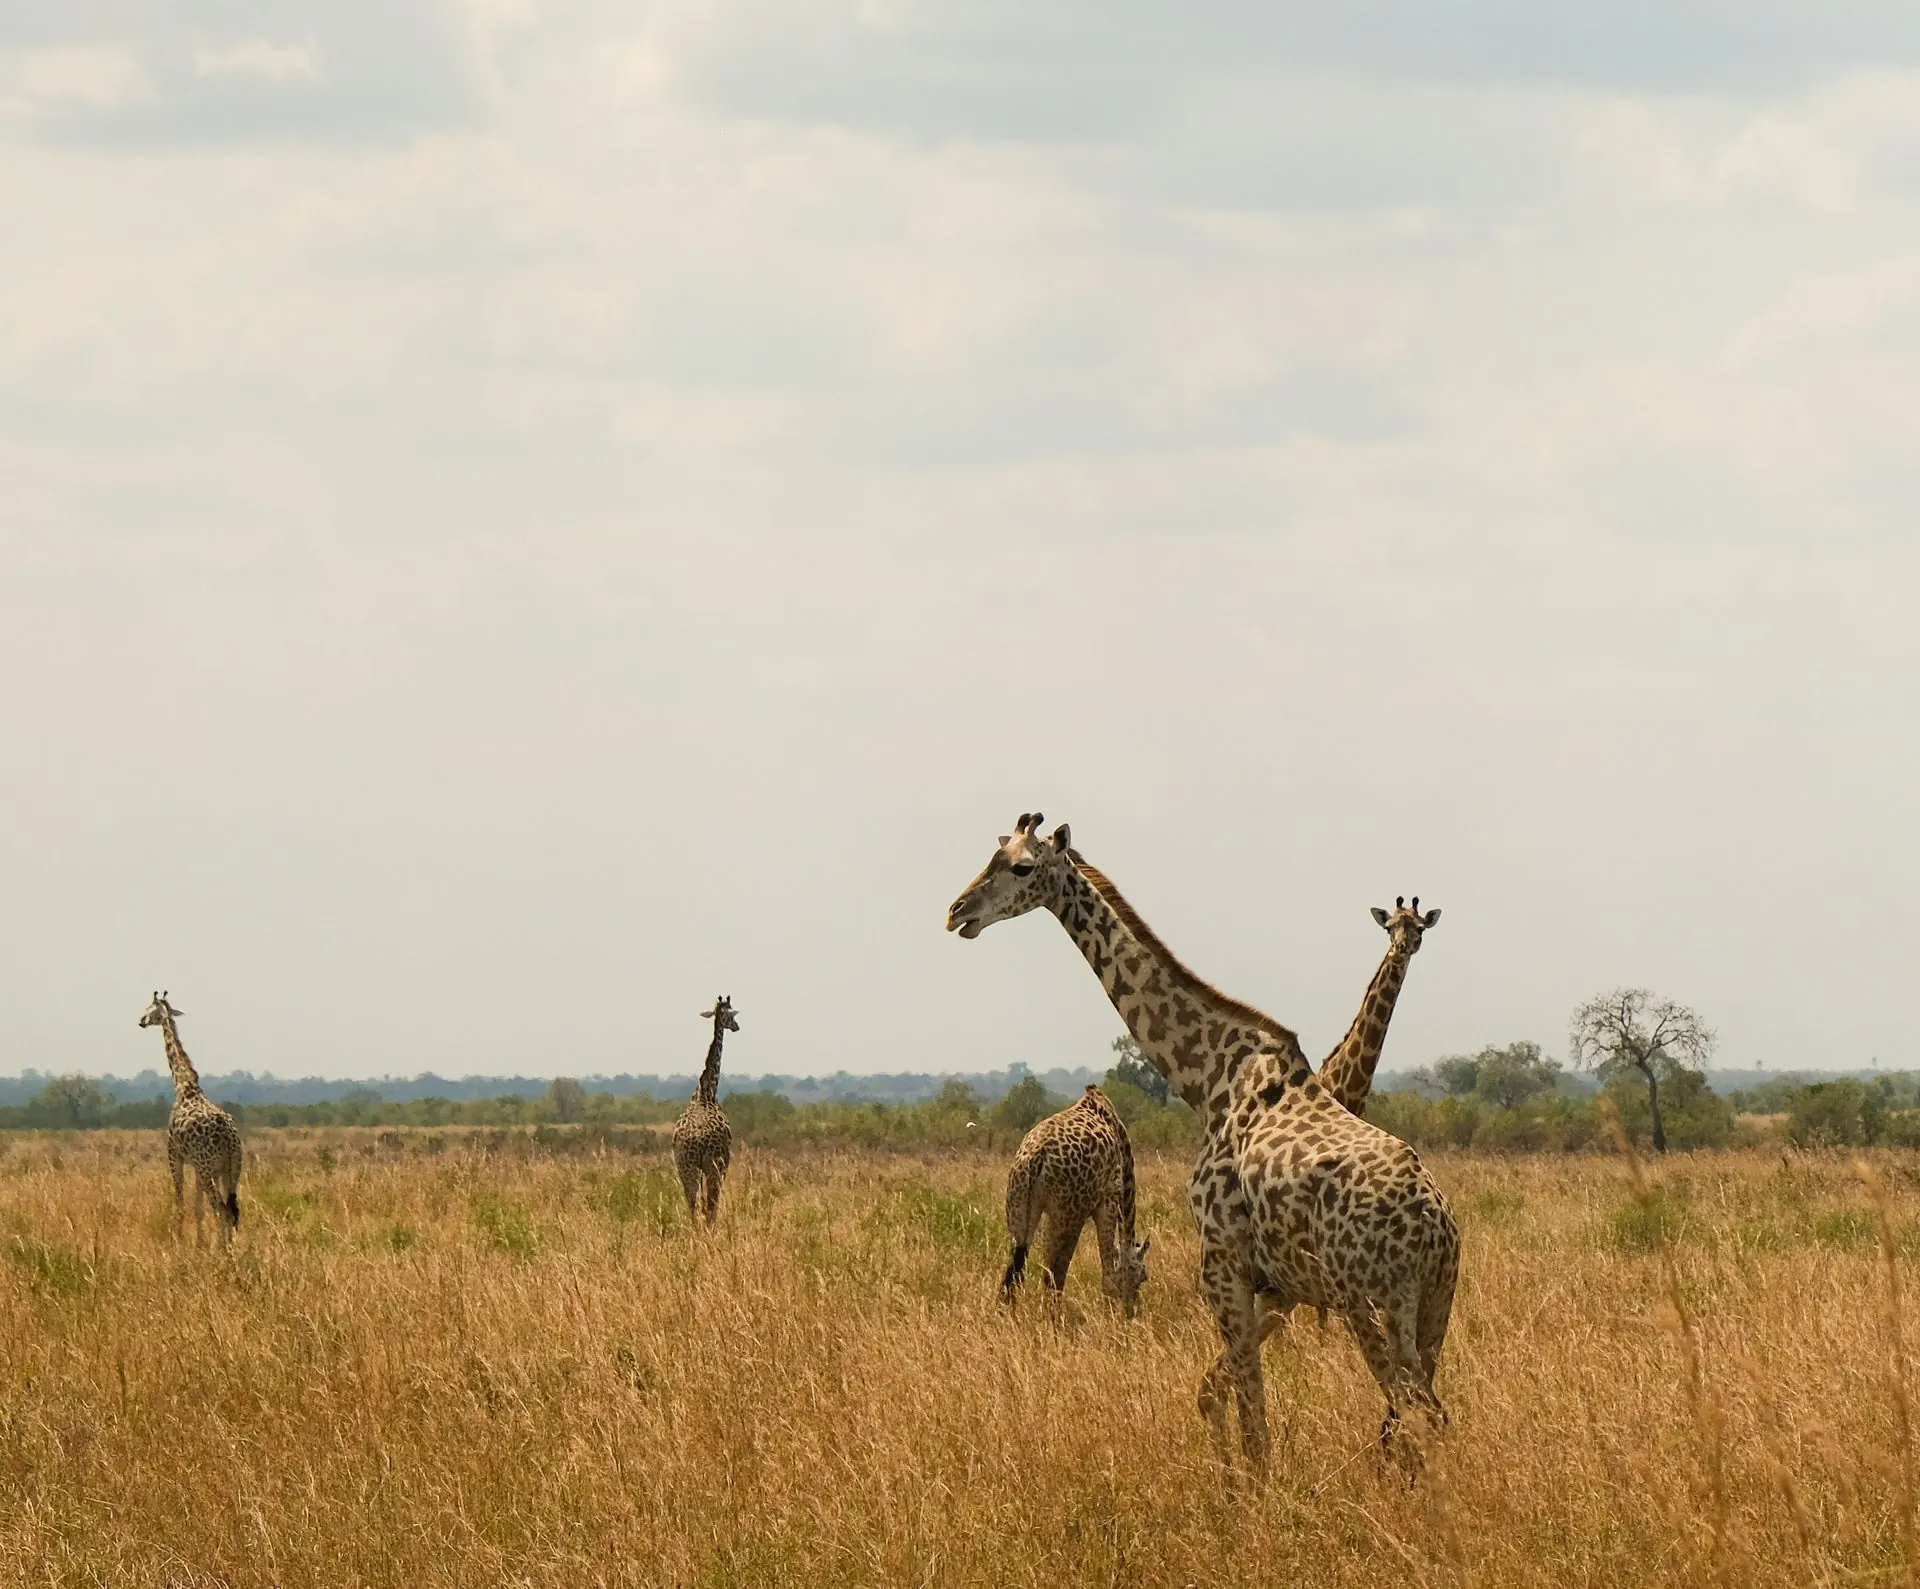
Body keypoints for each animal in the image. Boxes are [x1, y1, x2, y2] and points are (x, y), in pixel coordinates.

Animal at [138, 992, 243, 1248]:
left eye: (151, 1009)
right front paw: (199, 1244)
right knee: (232, 1210)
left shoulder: (174, 1154)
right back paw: (231, 1247)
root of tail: (229, 1139)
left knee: (221, 1209)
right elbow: (198, 1208)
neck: (184, 1084)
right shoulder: (198, 1165)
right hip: (232, 1169)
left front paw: (179, 1240)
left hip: (209, 1170)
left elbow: (181, 1202)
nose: (141, 1021)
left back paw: (223, 1250)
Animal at [672, 996, 737, 1228]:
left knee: (693, 1206)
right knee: (709, 1206)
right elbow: (713, 1205)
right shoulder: (724, 1163)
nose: (736, 1027)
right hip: (711, 1167)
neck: (706, 1092)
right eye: (731, 1015)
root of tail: (697, 1140)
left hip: (686, 1167)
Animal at [1002, 1084, 1151, 1317]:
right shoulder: (1109, 1201)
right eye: (1143, 1276)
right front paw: (1110, 1318)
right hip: (1069, 1214)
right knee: (1054, 1274)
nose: (1133, 1311)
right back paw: (1054, 1320)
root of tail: (1035, 1157)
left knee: (1015, 1272)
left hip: (1020, 1208)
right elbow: (1108, 1275)